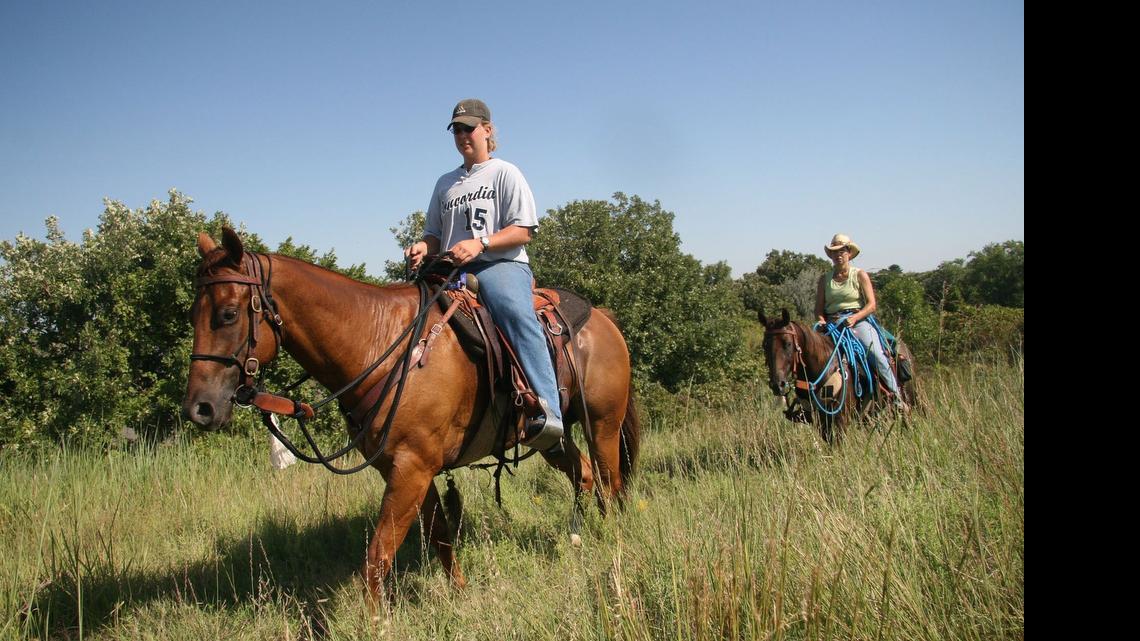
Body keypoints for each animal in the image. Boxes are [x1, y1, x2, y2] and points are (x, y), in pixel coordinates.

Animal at [182, 228, 641, 601]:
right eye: (191, 315)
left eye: (228, 314)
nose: (199, 409)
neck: (383, 344)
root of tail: (603, 319)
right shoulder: (404, 468)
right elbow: (438, 535)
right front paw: (458, 593)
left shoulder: (412, 468)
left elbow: (379, 554)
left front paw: (375, 623)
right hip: (552, 438)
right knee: (584, 476)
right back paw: (578, 539)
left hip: (603, 426)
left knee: (610, 482)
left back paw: (612, 541)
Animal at [758, 308, 918, 443]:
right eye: (765, 345)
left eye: (787, 344)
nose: (777, 384)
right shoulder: (822, 423)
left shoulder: (841, 421)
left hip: (909, 400)